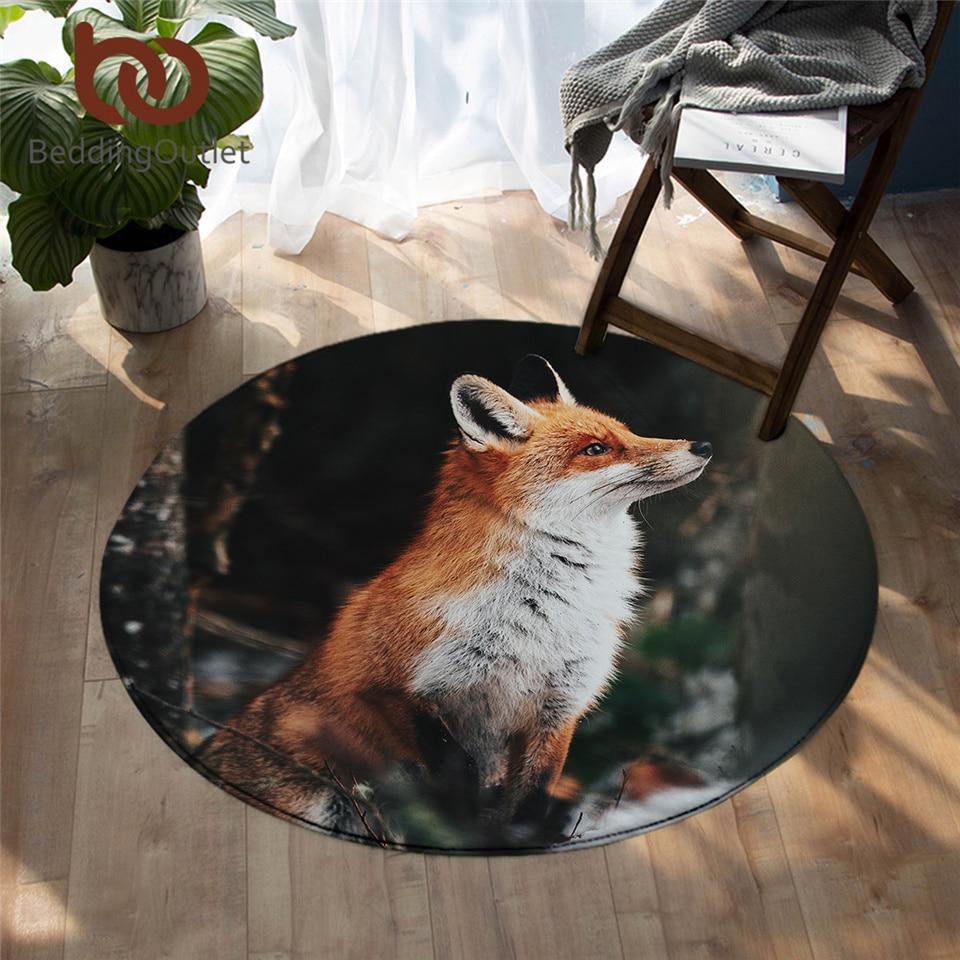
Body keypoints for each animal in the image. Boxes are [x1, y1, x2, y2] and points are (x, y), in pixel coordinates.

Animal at [200, 354, 712, 835]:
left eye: (629, 431)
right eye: (596, 449)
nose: (702, 445)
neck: (541, 616)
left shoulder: (559, 707)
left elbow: (529, 805)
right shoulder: (390, 688)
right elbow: (457, 780)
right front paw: (468, 832)